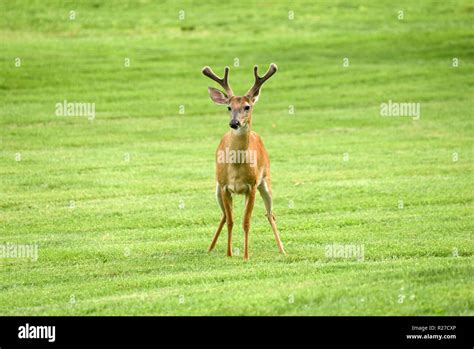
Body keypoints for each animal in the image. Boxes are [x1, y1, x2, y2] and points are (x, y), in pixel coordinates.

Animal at [201, 62, 286, 260]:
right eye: (228, 107)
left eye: (247, 106)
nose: (234, 123)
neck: (236, 167)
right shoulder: (224, 186)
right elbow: (231, 221)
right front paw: (229, 254)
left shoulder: (251, 186)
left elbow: (246, 222)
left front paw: (246, 256)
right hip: (217, 190)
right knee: (224, 216)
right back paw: (209, 248)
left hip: (266, 181)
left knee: (270, 214)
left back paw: (282, 250)